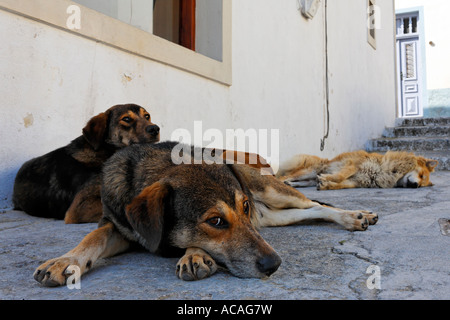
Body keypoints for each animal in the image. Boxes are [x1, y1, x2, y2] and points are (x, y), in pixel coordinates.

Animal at [33, 141, 376, 284]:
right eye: (215, 221)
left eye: (244, 206)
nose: (274, 265)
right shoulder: (116, 225)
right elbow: (92, 238)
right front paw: (64, 262)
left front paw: (195, 255)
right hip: (271, 217)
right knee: (304, 213)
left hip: (269, 190)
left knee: (317, 205)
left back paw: (356, 216)